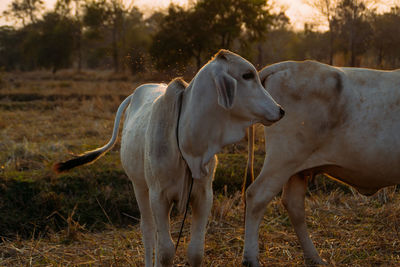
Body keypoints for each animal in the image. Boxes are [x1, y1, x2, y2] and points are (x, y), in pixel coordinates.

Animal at [54, 50, 284, 267]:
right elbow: (165, 251)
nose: (280, 110)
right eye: (247, 75)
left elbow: (195, 251)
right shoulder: (158, 196)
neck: (190, 145)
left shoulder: (203, 195)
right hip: (140, 186)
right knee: (148, 231)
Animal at [242, 60, 400, 267]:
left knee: (294, 205)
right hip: (283, 159)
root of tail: (290, 64)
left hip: (296, 169)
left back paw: (314, 257)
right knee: (256, 196)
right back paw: (251, 259)